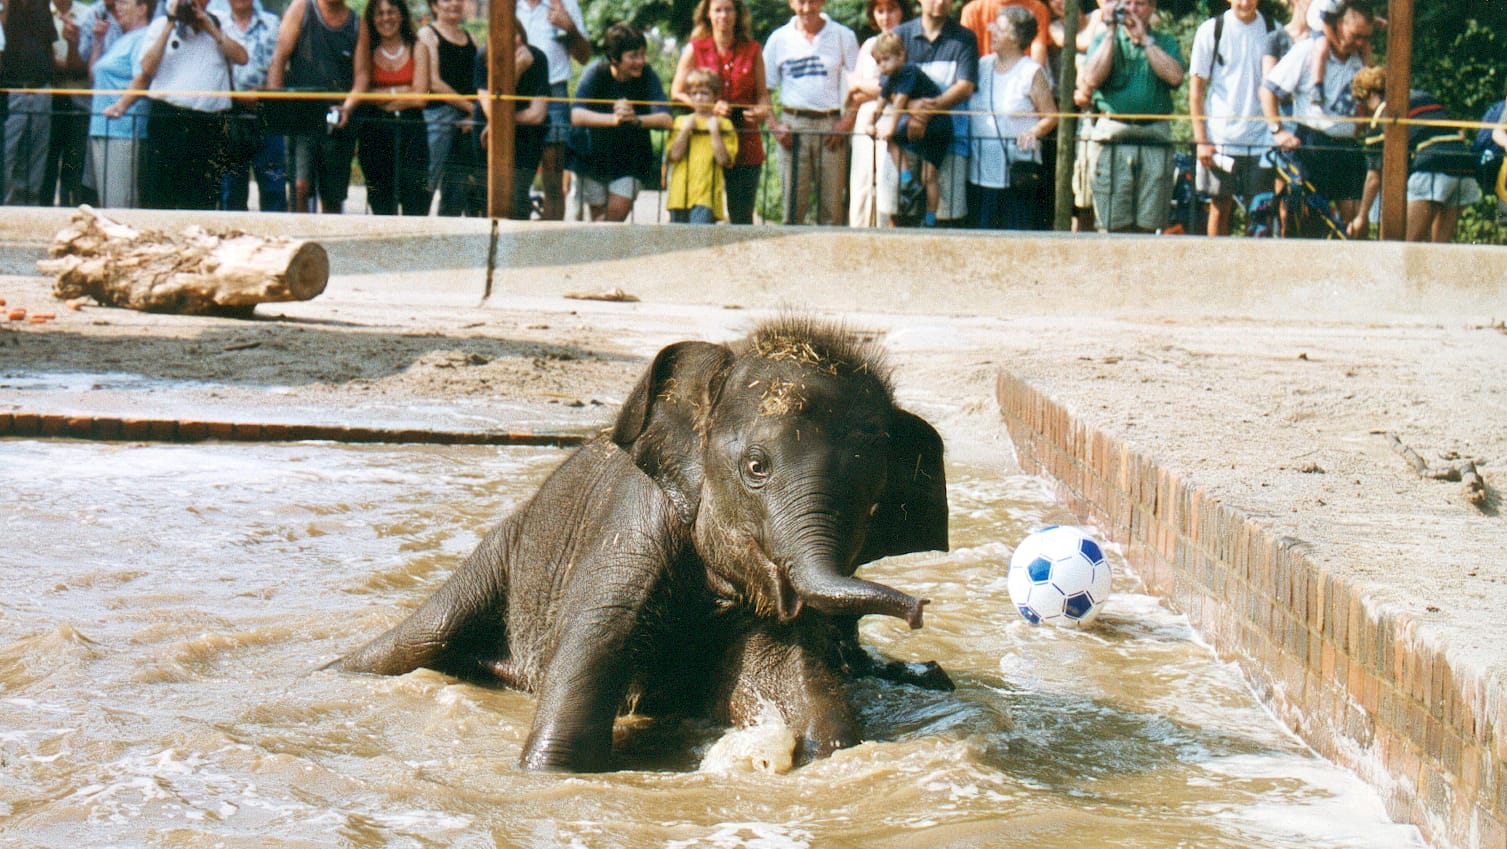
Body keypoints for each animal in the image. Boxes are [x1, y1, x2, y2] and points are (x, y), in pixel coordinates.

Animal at [330, 315, 946, 772]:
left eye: (870, 497)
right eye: (756, 467)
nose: (920, 609)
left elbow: (799, 687)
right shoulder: (632, 532)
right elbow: (582, 678)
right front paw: (549, 773)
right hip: (499, 555)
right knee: (416, 638)